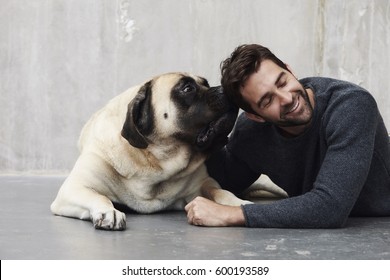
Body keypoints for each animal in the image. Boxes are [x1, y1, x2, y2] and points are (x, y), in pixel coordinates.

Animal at [49, 72, 253, 230]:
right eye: (187, 89)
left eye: (206, 84)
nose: (226, 88)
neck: (155, 161)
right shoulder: (74, 188)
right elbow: (98, 196)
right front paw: (109, 211)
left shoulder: (203, 183)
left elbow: (220, 191)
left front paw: (239, 203)